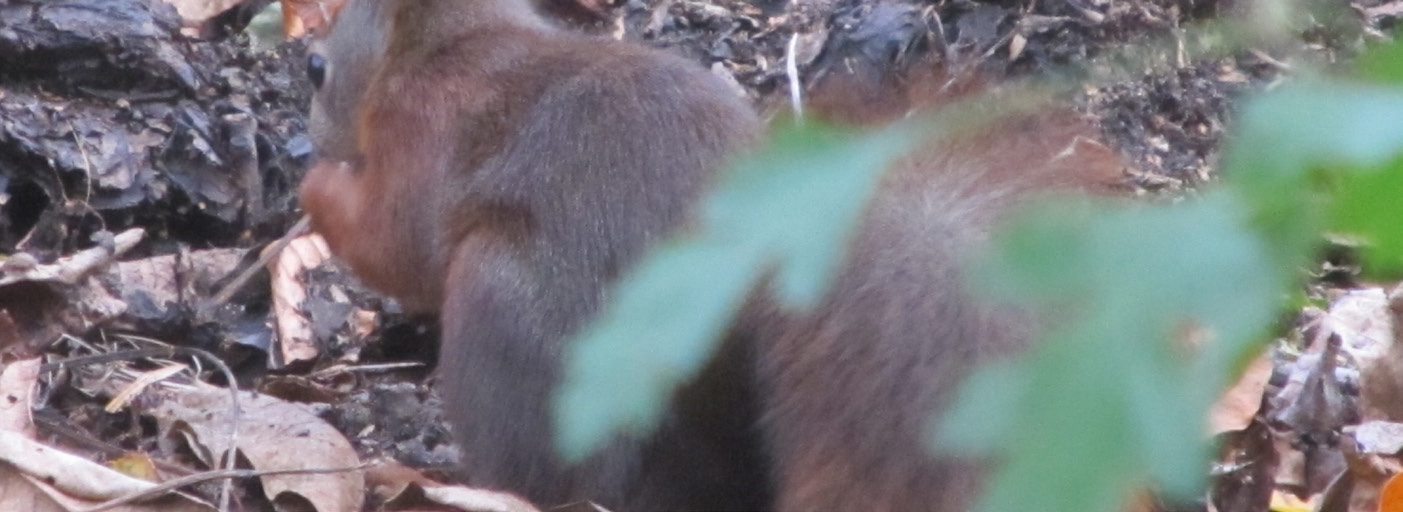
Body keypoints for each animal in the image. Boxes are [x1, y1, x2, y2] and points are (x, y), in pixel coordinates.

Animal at [298, 1, 1128, 507]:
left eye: (316, 69)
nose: (310, 134)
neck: (453, 39)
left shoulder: (422, 134)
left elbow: (395, 241)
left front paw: (316, 189)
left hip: (505, 308)